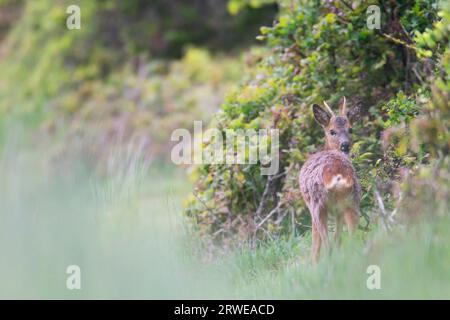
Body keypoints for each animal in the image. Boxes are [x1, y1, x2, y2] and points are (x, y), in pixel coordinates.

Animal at [298, 97, 362, 262]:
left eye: (350, 129)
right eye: (332, 131)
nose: (345, 145)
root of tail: (337, 172)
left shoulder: (310, 205)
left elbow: (316, 242)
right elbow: (337, 238)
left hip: (318, 204)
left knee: (327, 243)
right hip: (352, 200)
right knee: (350, 235)